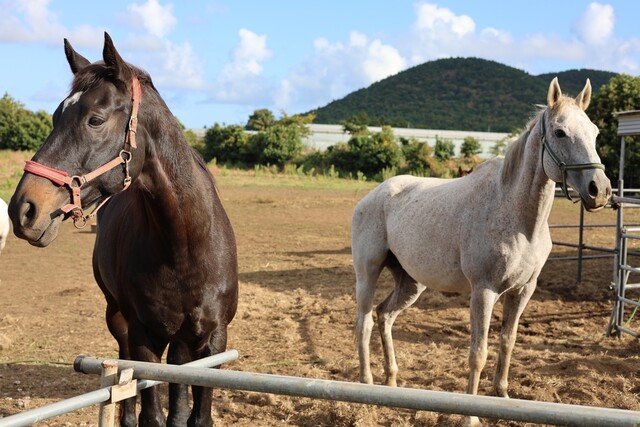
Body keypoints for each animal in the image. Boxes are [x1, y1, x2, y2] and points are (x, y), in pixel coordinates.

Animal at [8, 33, 238, 427]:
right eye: (55, 116)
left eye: (95, 120)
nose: (23, 209)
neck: (184, 246)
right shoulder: (145, 338)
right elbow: (148, 410)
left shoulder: (213, 341)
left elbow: (196, 414)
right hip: (119, 318)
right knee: (124, 373)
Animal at [352, 78, 612, 426]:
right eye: (560, 132)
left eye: (594, 132)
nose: (600, 190)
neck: (516, 216)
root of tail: (373, 195)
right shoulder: (484, 291)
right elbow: (478, 353)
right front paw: (471, 416)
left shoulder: (523, 291)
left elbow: (507, 341)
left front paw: (502, 396)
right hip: (367, 273)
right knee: (365, 322)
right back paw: (366, 383)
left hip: (411, 283)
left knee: (385, 315)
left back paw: (391, 381)